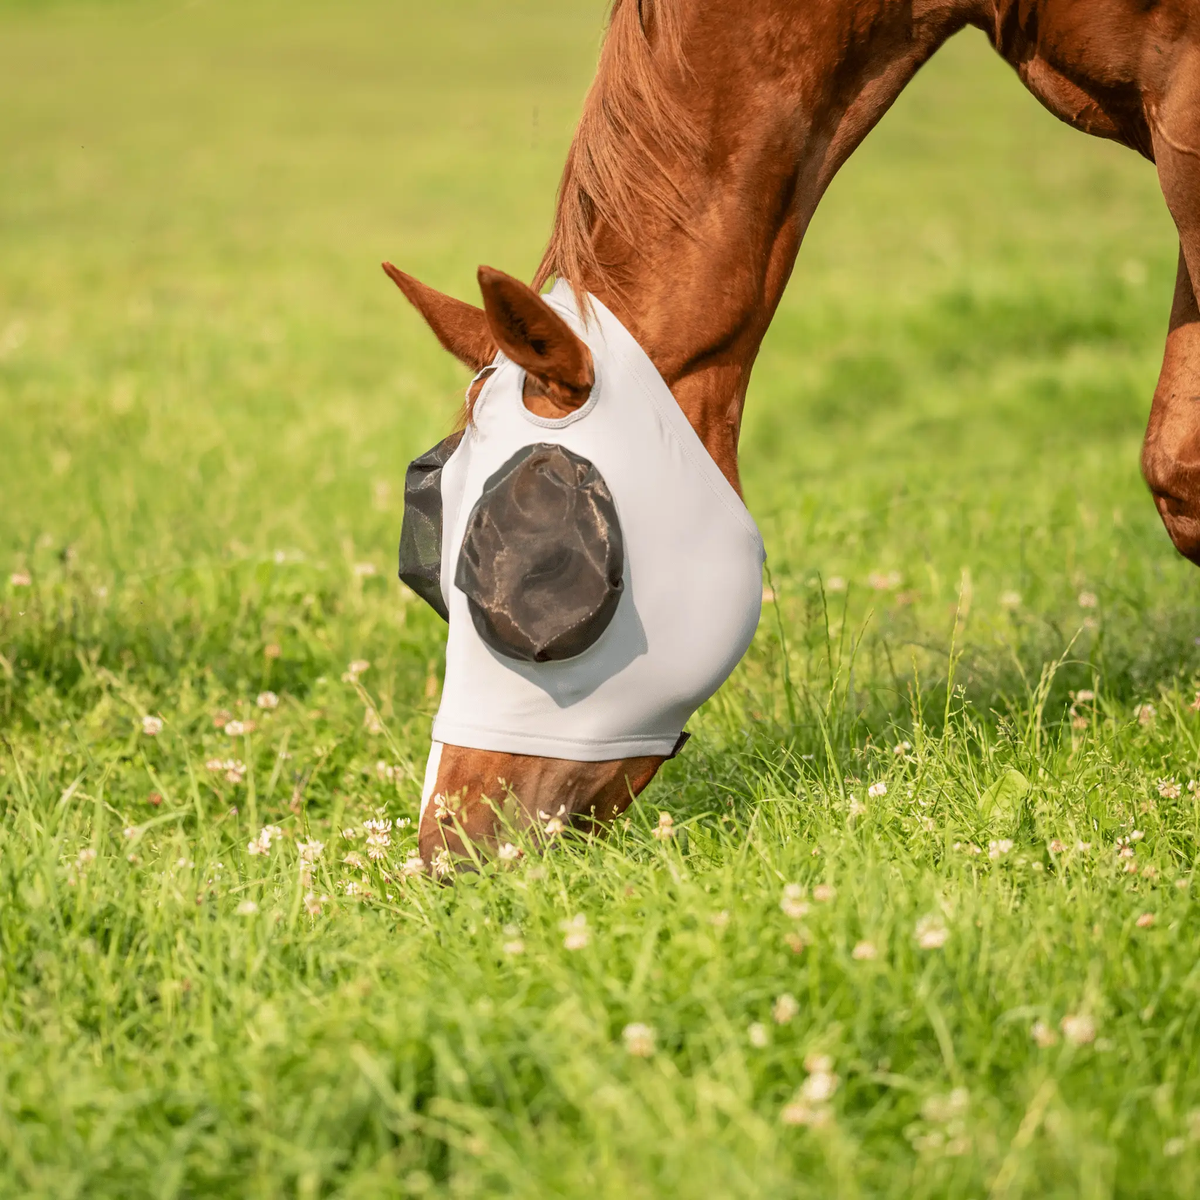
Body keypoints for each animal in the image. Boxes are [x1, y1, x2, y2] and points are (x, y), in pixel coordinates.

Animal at [387, 0, 1200, 865]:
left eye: (545, 569)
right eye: (425, 569)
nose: (447, 847)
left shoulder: (1183, 120)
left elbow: (1180, 471)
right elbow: (1176, 470)